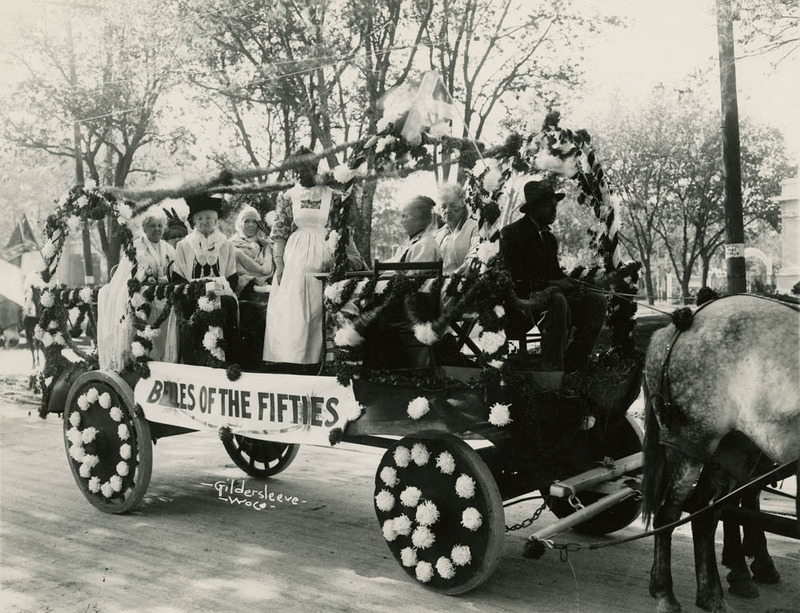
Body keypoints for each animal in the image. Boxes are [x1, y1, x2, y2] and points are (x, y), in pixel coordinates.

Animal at [644, 294, 800, 612]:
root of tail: (673, 327)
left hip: (734, 449)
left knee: (705, 512)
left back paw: (711, 593)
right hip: (692, 441)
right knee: (669, 513)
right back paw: (666, 592)